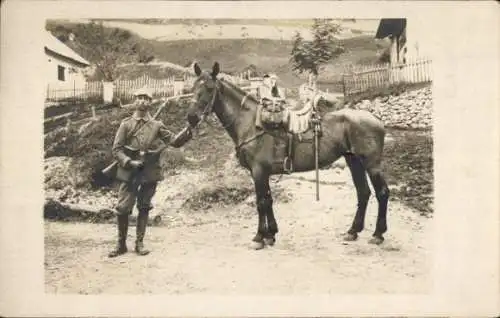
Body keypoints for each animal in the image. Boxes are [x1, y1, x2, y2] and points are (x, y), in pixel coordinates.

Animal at [187, 62, 390, 251]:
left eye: (209, 88)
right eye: (193, 88)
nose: (191, 117)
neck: (251, 124)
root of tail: (376, 120)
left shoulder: (258, 171)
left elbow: (261, 202)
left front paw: (259, 237)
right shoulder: (263, 173)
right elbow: (268, 200)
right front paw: (271, 235)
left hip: (371, 163)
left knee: (382, 192)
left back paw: (378, 234)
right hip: (353, 160)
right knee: (363, 192)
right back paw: (353, 231)